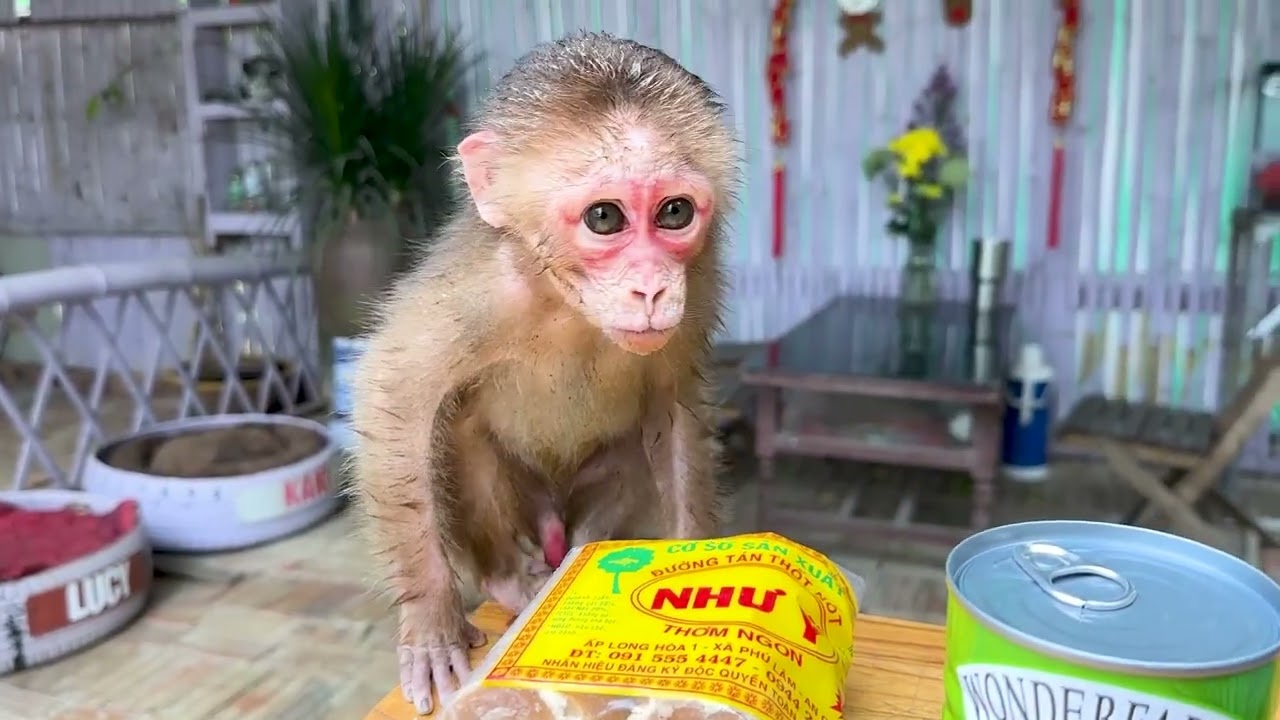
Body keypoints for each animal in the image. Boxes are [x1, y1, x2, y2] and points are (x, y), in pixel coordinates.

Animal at [348, 31, 740, 715]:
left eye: (674, 212)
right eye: (605, 218)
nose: (651, 289)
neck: (567, 302)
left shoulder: (700, 284)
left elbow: (674, 411)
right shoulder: (479, 290)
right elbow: (393, 394)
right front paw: (430, 620)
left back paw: (586, 551)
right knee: (458, 427)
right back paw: (510, 578)